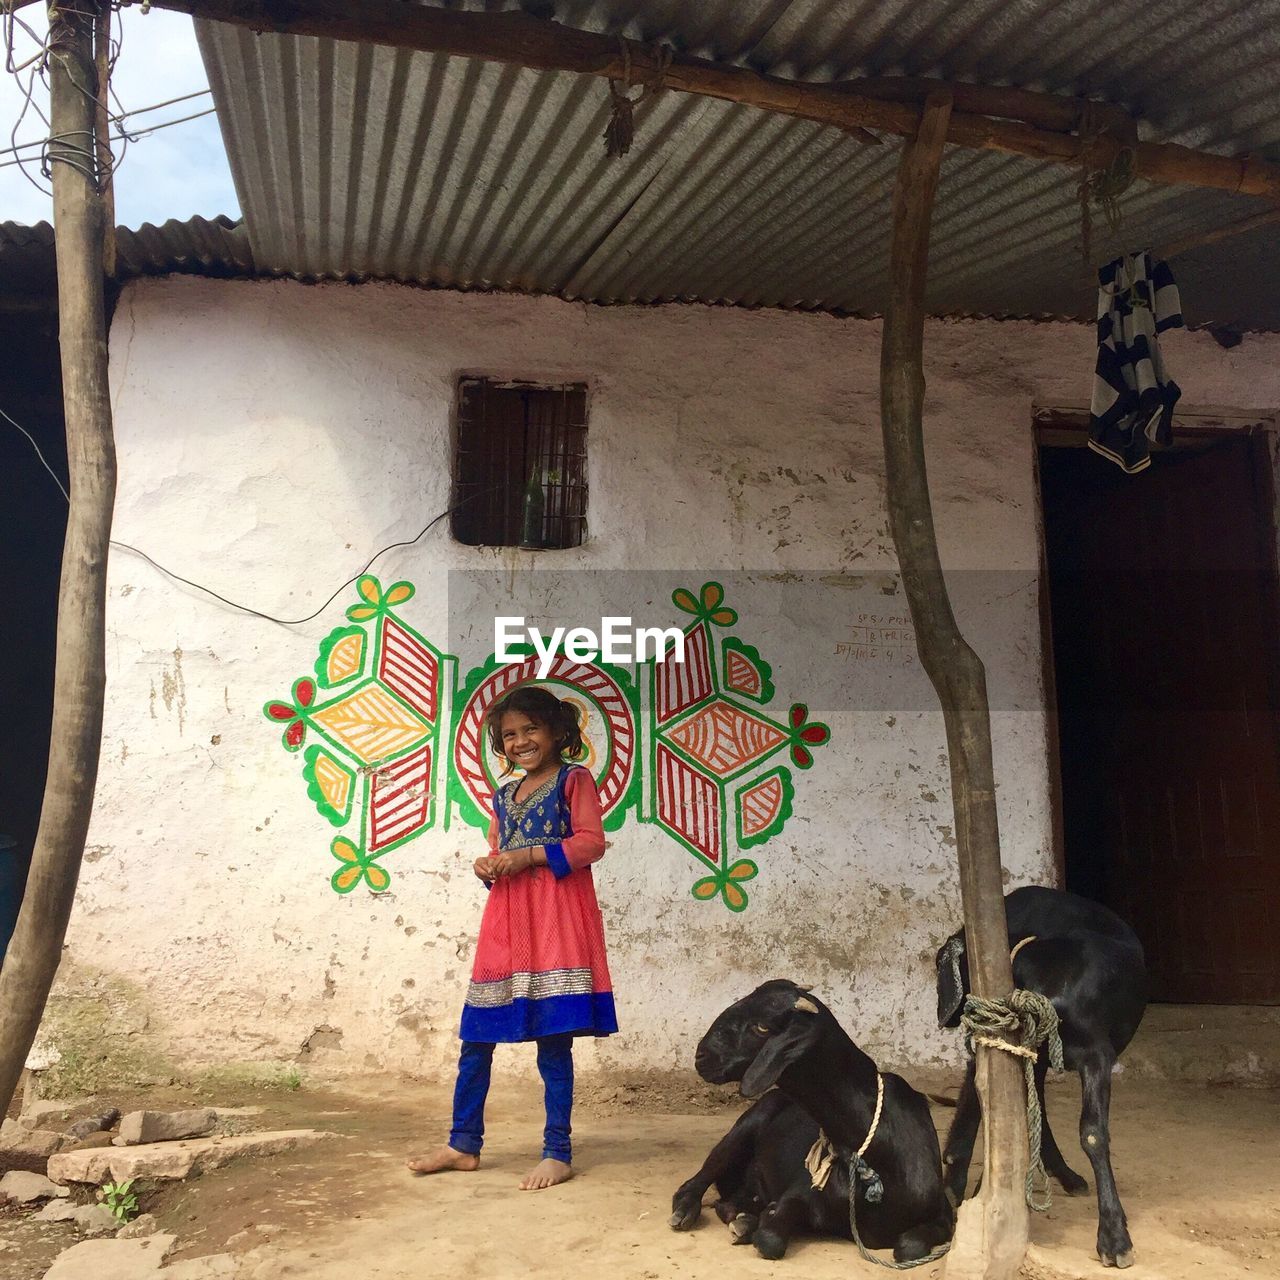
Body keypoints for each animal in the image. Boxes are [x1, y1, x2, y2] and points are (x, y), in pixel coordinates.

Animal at [670, 977, 952, 1259]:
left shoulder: (945, 1213)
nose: (701, 1056)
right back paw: (687, 1212)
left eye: (762, 1027)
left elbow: (909, 1246)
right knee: (696, 1182)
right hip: (745, 1127)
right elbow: (770, 1239)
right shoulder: (799, 1191)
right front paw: (762, 1223)